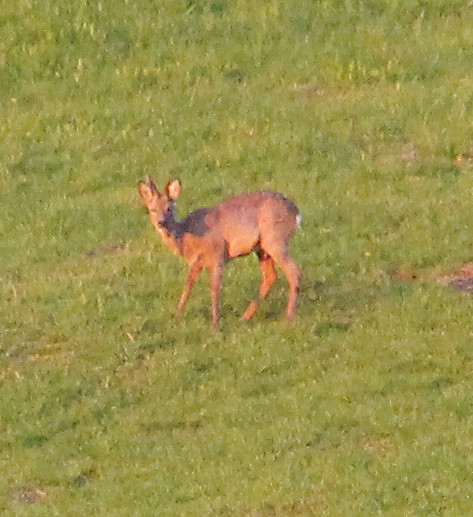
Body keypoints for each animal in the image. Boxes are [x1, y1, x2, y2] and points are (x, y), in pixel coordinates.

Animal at [138, 175, 300, 328]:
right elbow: (188, 286)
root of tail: (296, 212)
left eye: (169, 208)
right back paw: (245, 317)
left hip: (275, 239)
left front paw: (216, 324)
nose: (161, 222)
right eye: (152, 209)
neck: (186, 236)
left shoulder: (218, 254)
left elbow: (215, 288)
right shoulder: (196, 262)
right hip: (262, 248)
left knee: (294, 272)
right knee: (270, 276)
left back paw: (288, 318)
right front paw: (176, 319)